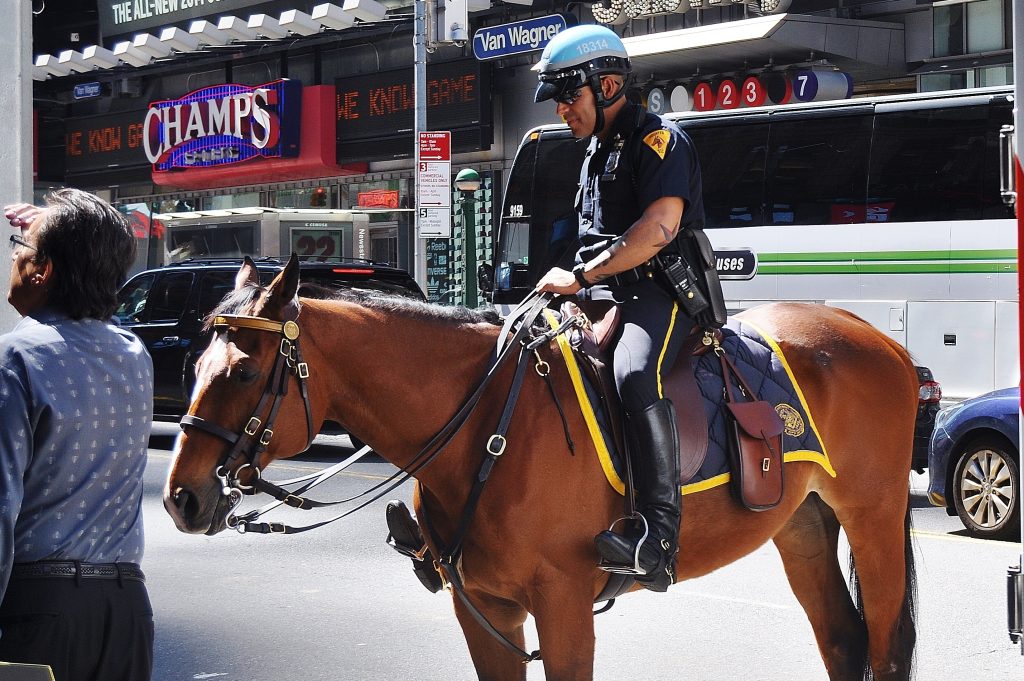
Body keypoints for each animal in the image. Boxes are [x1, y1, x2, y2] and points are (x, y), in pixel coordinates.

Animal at [161, 256, 921, 679]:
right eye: (195, 365)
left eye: (243, 371)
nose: (181, 498)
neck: (486, 425)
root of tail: (880, 338)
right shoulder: (485, 612)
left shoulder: (563, 608)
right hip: (803, 525)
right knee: (843, 642)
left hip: (874, 516)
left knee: (885, 646)